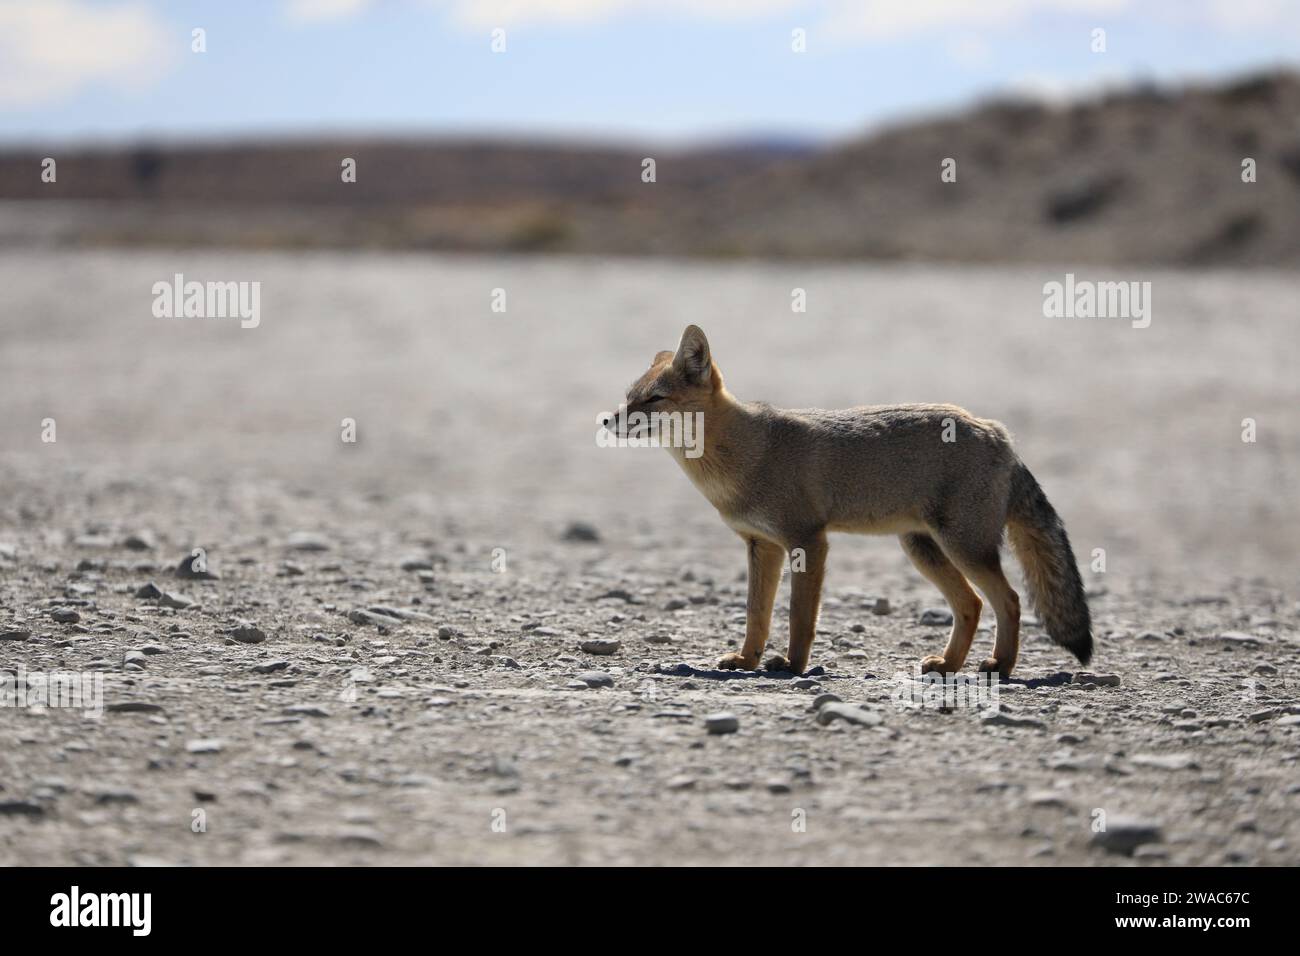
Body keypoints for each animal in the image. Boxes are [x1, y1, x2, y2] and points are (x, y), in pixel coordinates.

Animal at [603, 325, 1092, 676]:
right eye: (628, 398)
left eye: (653, 399)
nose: (607, 420)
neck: (746, 451)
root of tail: (996, 430)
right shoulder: (762, 545)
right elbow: (756, 615)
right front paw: (746, 660)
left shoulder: (807, 540)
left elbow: (800, 616)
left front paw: (792, 666)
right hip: (923, 548)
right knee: (971, 605)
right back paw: (949, 664)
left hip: (963, 547)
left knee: (1008, 600)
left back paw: (1000, 666)